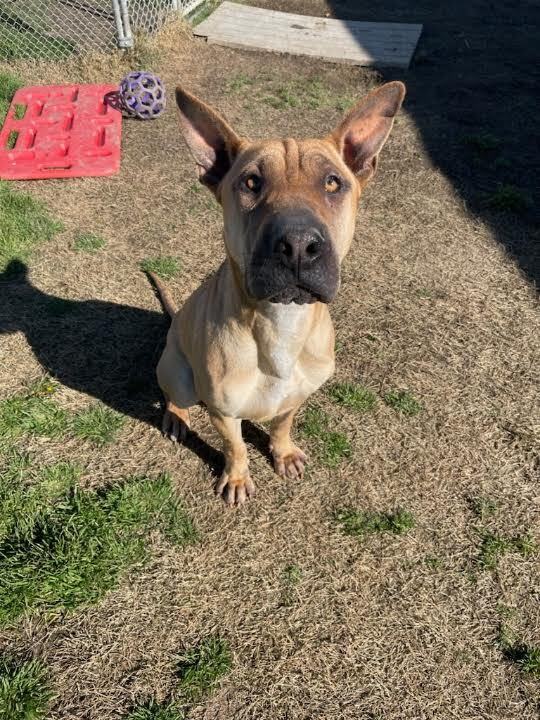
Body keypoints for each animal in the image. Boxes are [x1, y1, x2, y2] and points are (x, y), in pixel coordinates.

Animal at [151, 80, 404, 506]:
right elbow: (235, 446)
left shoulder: (298, 396)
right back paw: (176, 417)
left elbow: (283, 423)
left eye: (332, 182)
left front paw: (282, 453)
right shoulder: (223, 412)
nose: (299, 245)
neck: (282, 321)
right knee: (174, 395)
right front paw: (237, 477)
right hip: (180, 375)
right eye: (251, 182)